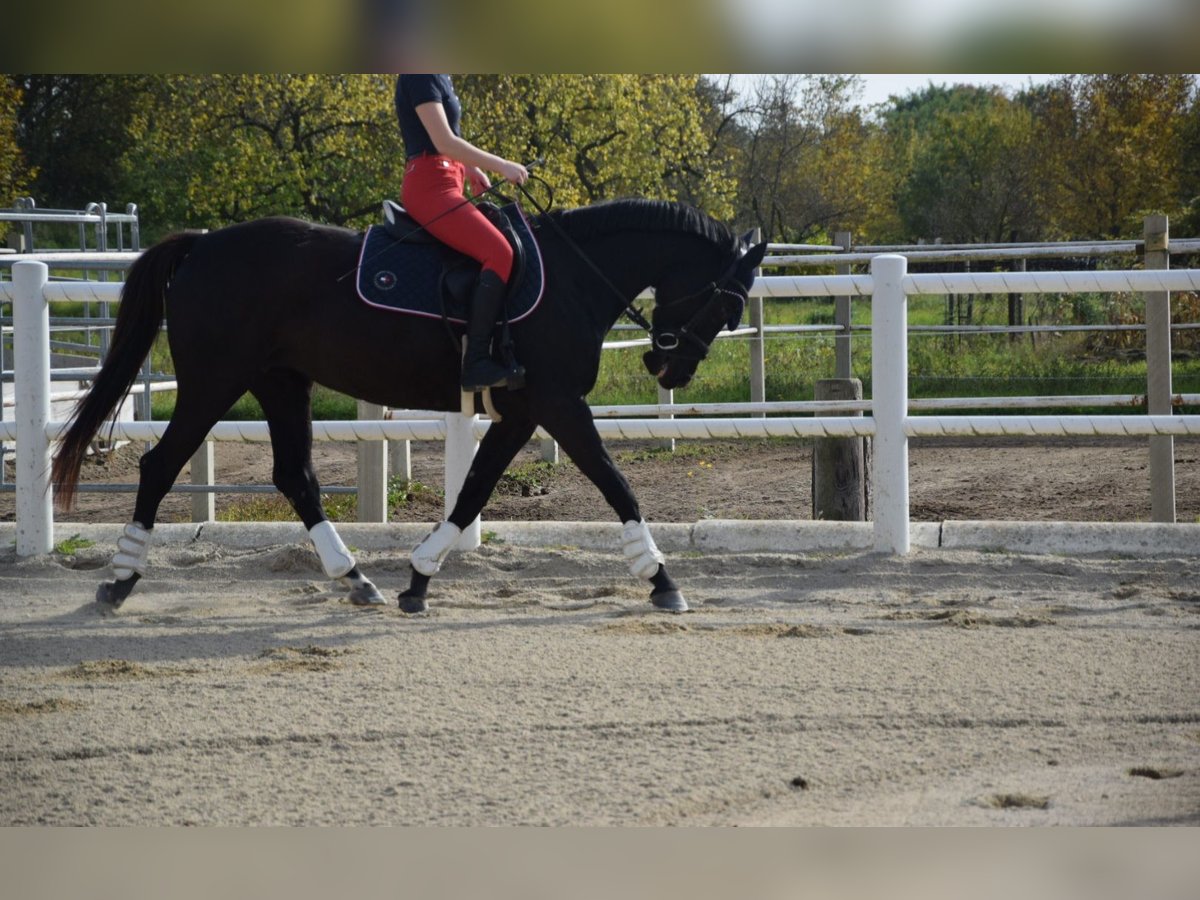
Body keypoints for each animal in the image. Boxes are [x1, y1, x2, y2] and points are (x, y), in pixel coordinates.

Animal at [51, 199, 763, 614]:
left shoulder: (522, 410)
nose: (670, 368)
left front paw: (419, 579)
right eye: (730, 302)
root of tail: (203, 243)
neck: (571, 277)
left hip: (280, 382)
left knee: (295, 477)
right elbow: (616, 484)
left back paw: (354, 577)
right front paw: (662, 578)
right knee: (160, 465)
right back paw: (120, 579)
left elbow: (474, 491)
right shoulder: (558, 403)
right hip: (213, 382)